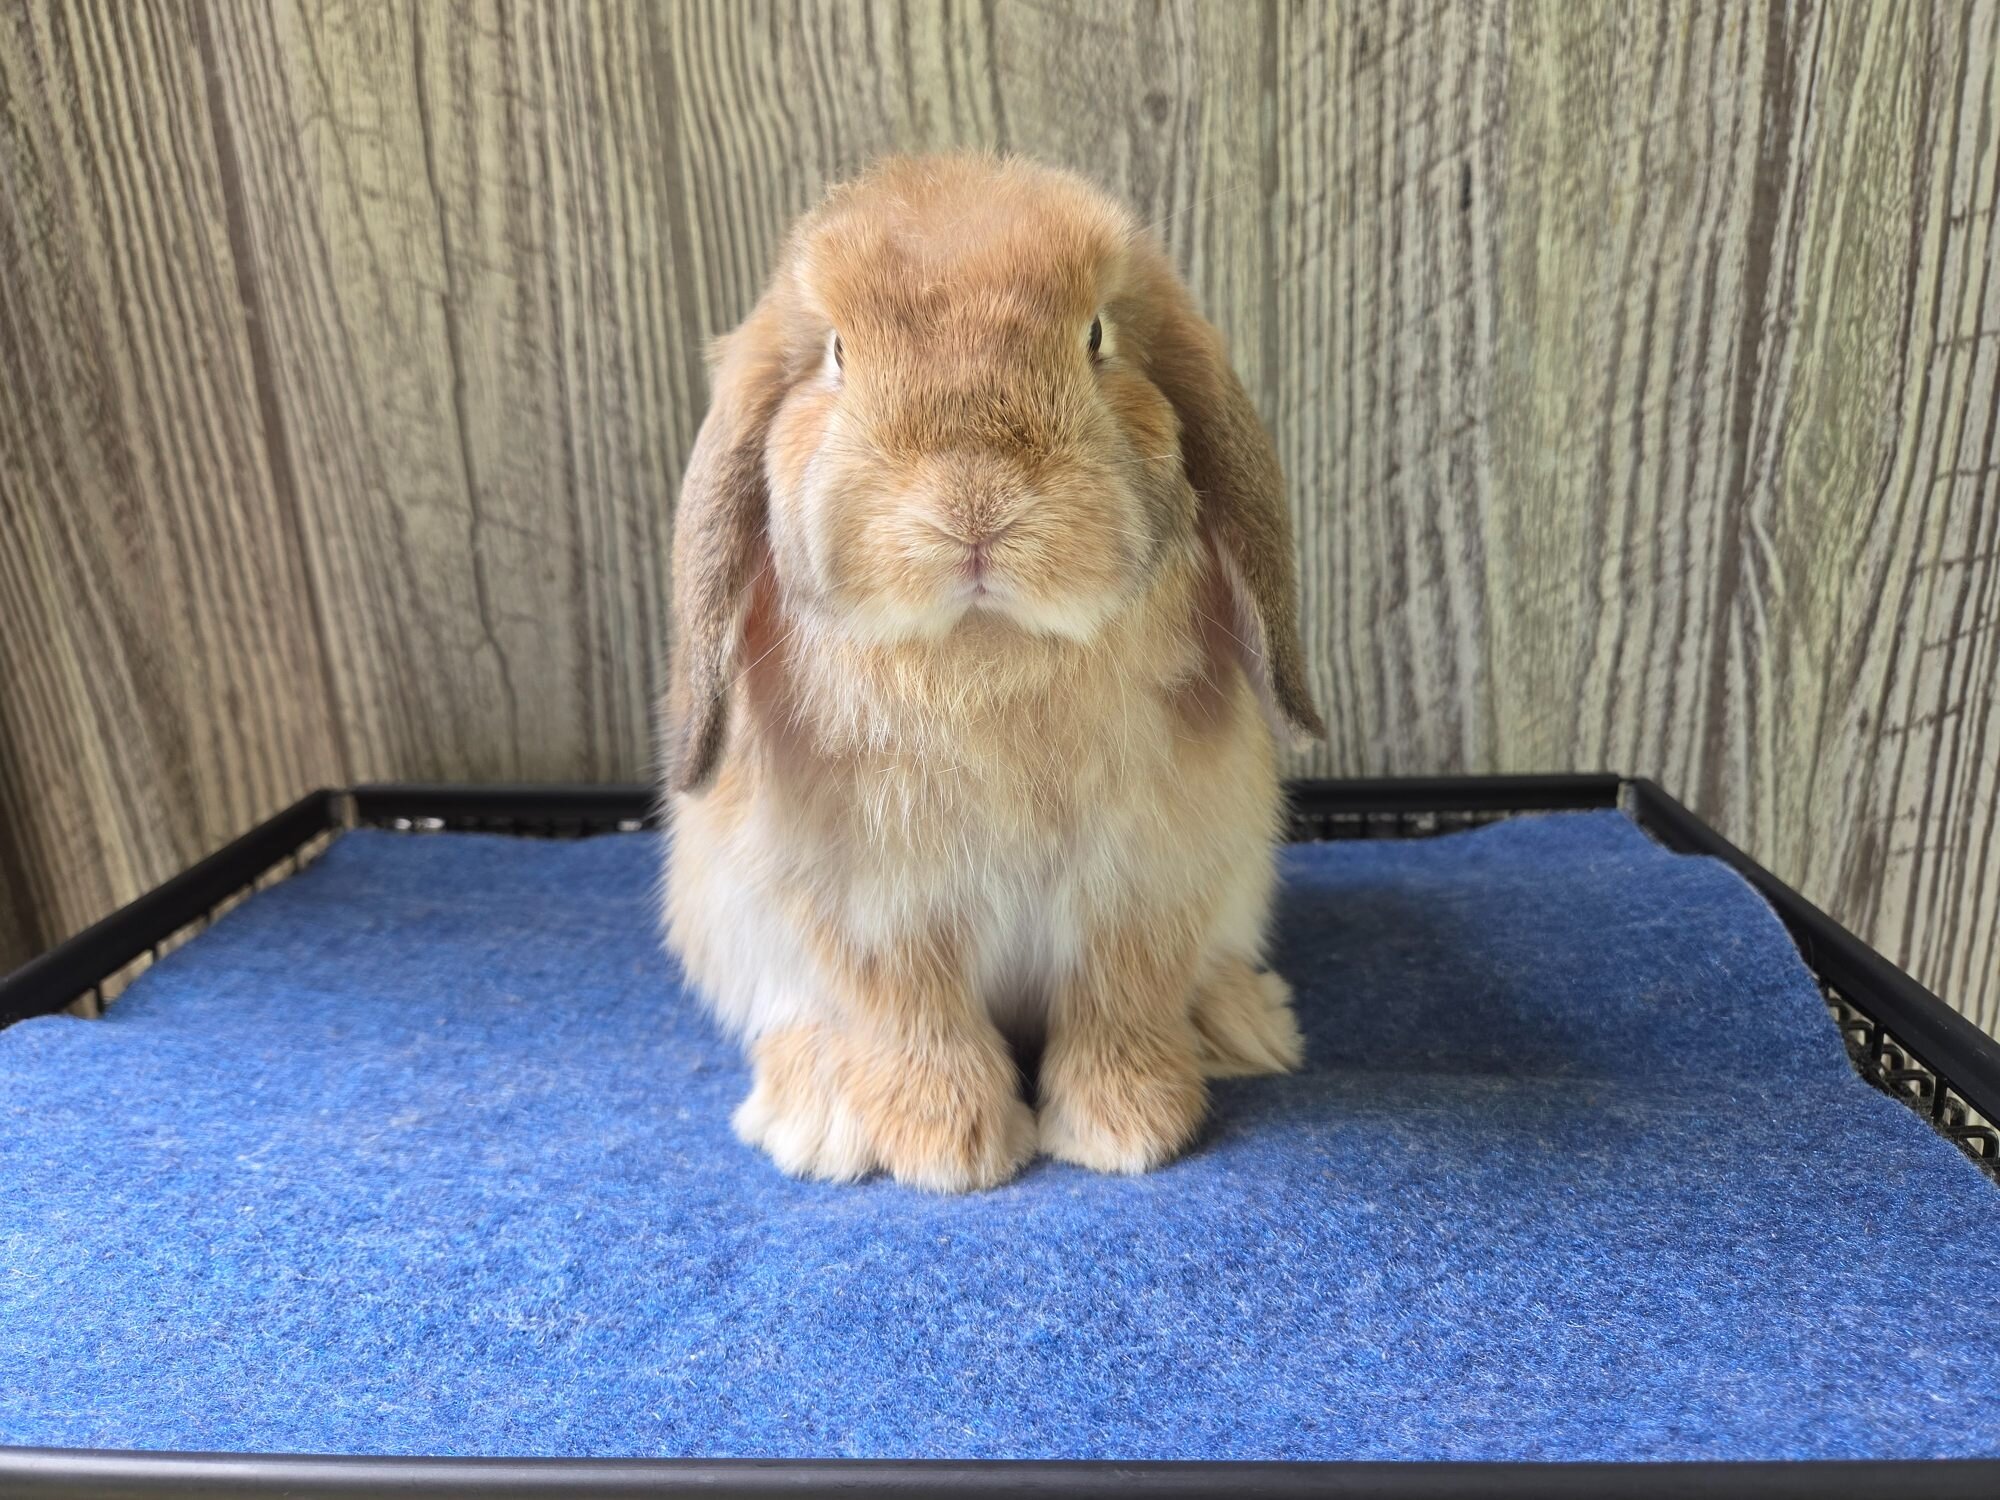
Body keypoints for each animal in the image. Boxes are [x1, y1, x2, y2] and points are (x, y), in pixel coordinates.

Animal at [661, 154, 1324, 1192]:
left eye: (1097, 335)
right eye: (838, 352)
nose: (975, 503)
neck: (986, 650)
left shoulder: (1143, 883)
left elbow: (1121, 998)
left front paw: (1127, 1130)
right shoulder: (873, 908)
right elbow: (912, 1015)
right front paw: (947, 1151)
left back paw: (1239, 1022)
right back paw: (820, 1115)